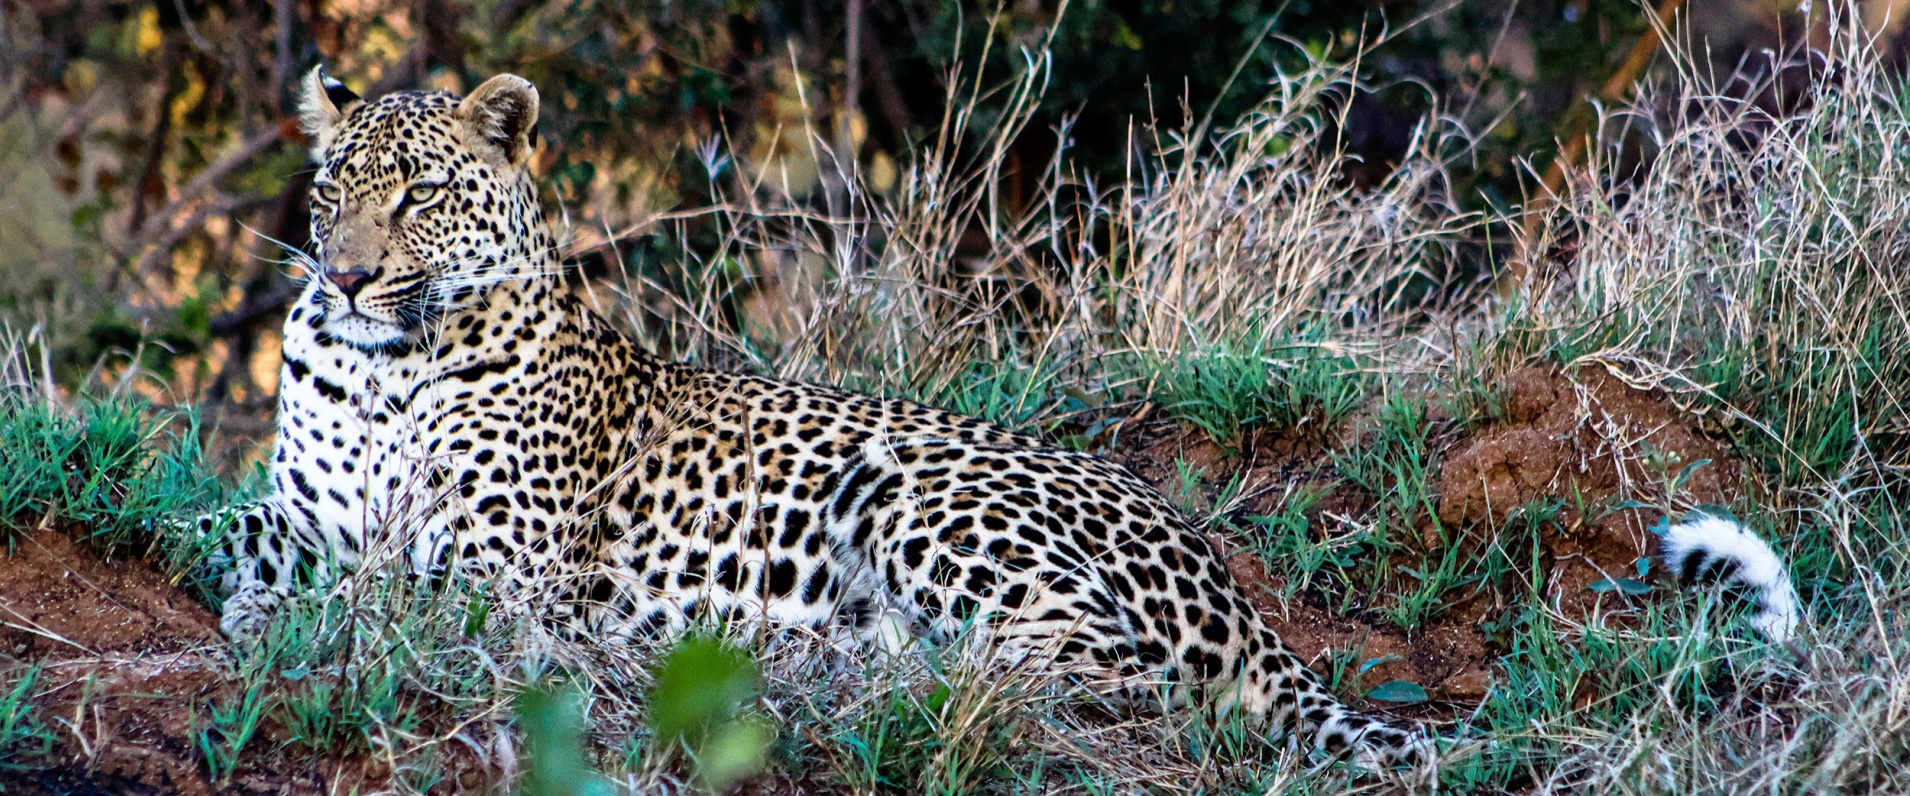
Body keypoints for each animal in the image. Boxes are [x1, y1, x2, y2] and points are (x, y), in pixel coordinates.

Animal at [200, 66, 1795, 778]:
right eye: (334, 187)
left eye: (421, 191)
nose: (346, 272)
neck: (383, 359)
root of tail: (1230, 584)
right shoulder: (299, 507)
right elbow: (232, 538)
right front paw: (251, 601)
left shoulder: (504, 565)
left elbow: (403, 600)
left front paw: (316, 623)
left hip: (918, 488)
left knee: (1105, 678)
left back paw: (850, 676)